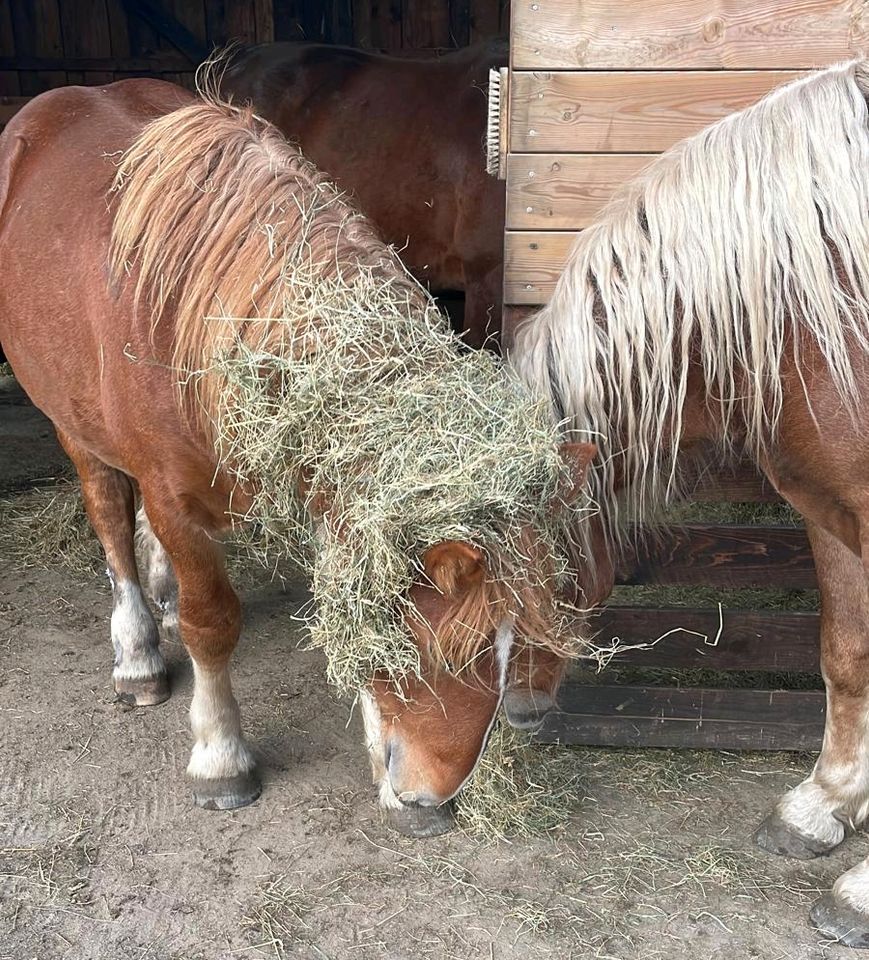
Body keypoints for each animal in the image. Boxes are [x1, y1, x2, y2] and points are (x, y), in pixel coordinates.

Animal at [0, 79, 588, 836]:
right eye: (442, 652)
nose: (431, 800)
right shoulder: (171, 494)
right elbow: (212, 623)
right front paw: (221, 758)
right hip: (71, 423)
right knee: (108, 516)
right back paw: (137, 654)